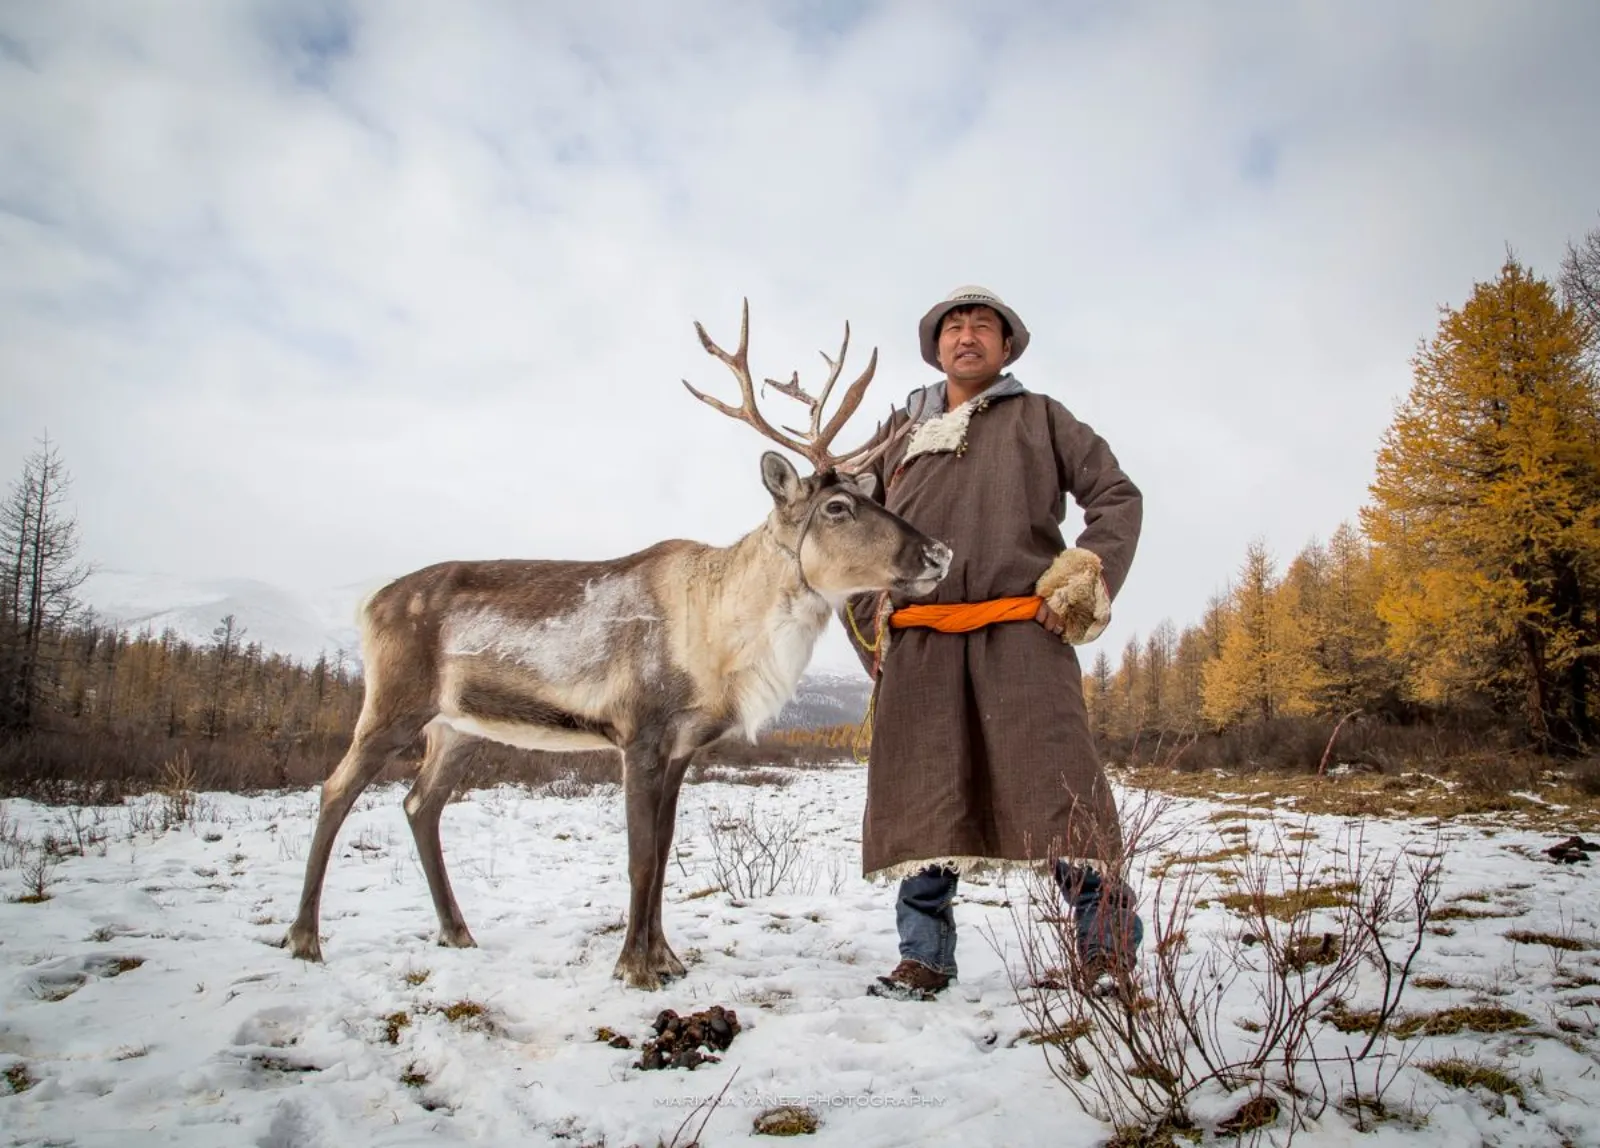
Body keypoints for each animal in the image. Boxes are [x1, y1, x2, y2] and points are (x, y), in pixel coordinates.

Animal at [283, 301, 951, 989]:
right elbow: (640, 859)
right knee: (335, 791)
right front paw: (635, 966)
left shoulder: (684, 748)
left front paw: (666, 958)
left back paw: (456, 931)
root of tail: (368, 602)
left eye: (871, 494)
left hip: (458, 725)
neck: (723, 631)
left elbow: (662, 853)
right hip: (393, 702)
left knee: (421, 803)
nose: (938, 553)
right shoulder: (640, 733)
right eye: (838, 507)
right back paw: (305, 939)